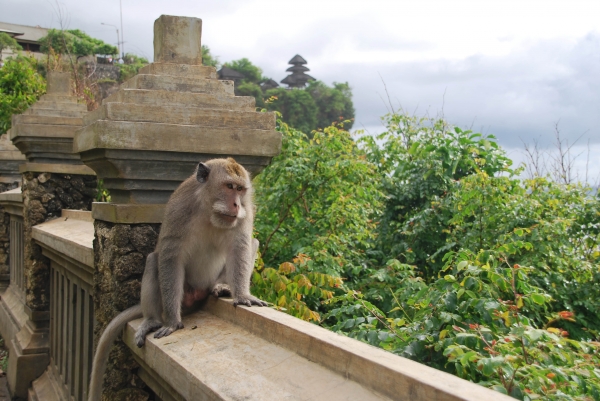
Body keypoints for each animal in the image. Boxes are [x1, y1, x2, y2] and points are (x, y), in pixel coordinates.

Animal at [88, 157, 266, 400]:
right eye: (229, 187)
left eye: (241, 190)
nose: (237, 205)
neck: (208, 210)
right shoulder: (179, 210)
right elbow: (171, 258)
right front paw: (172, 322)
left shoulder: (245, 215)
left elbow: (241, 246)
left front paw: (242, 295)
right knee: (154, 260)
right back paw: (153, 319)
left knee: (251, 244)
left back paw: (221, 286)